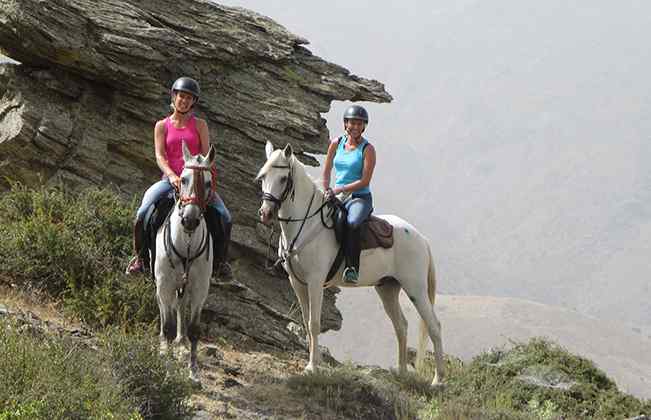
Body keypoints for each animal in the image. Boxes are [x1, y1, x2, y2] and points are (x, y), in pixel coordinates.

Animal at [256, 141, 445, 385]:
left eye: (283, 179)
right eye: (263, 177)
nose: (265, 213)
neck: (305, 224)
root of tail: (421, 238)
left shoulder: (315, 281)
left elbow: (314, 323)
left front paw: (312, 367)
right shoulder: (296, 282)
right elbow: (306, 322)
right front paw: (313, 362)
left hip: (416, 289)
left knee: (434, 326)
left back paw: (438, 380)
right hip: (388, 288)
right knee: (401, 325)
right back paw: (401, 372)